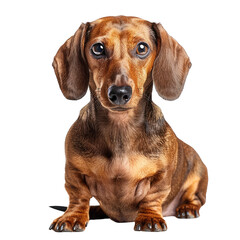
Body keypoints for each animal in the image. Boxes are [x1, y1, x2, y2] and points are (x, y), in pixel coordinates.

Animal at [49, 15, 208, 232]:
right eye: (98, 48)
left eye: (142, 48)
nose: (119, 93)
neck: (120, 128)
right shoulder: (73, 171)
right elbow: (78, 194)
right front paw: (72, 216)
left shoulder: (162, 176)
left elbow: (153, 196)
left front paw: (149, 217)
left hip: (198, 172)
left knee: (196, 198)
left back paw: (187, 208)